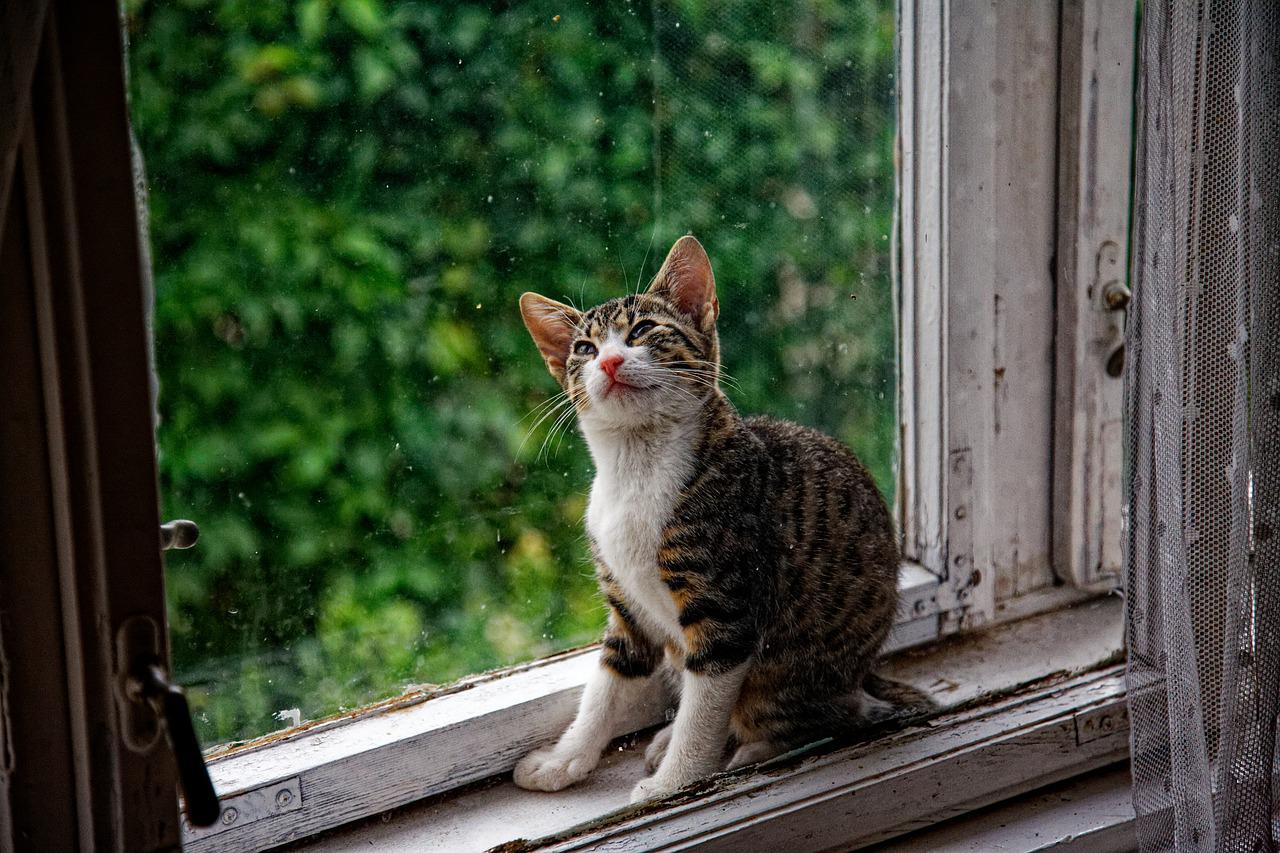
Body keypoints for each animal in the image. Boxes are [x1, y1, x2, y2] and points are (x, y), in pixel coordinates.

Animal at [509, 235, 931, 799]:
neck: (637, 469)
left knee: (829, 714)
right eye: (584, 349)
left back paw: (752, 748)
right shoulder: (626, 608)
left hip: (794, 670)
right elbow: (608, 683)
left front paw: (675, 782)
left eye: (643, 331)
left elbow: (704, 705)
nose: (611, 361)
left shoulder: (726, 606)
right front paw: (566, 758)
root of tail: (862, 677)